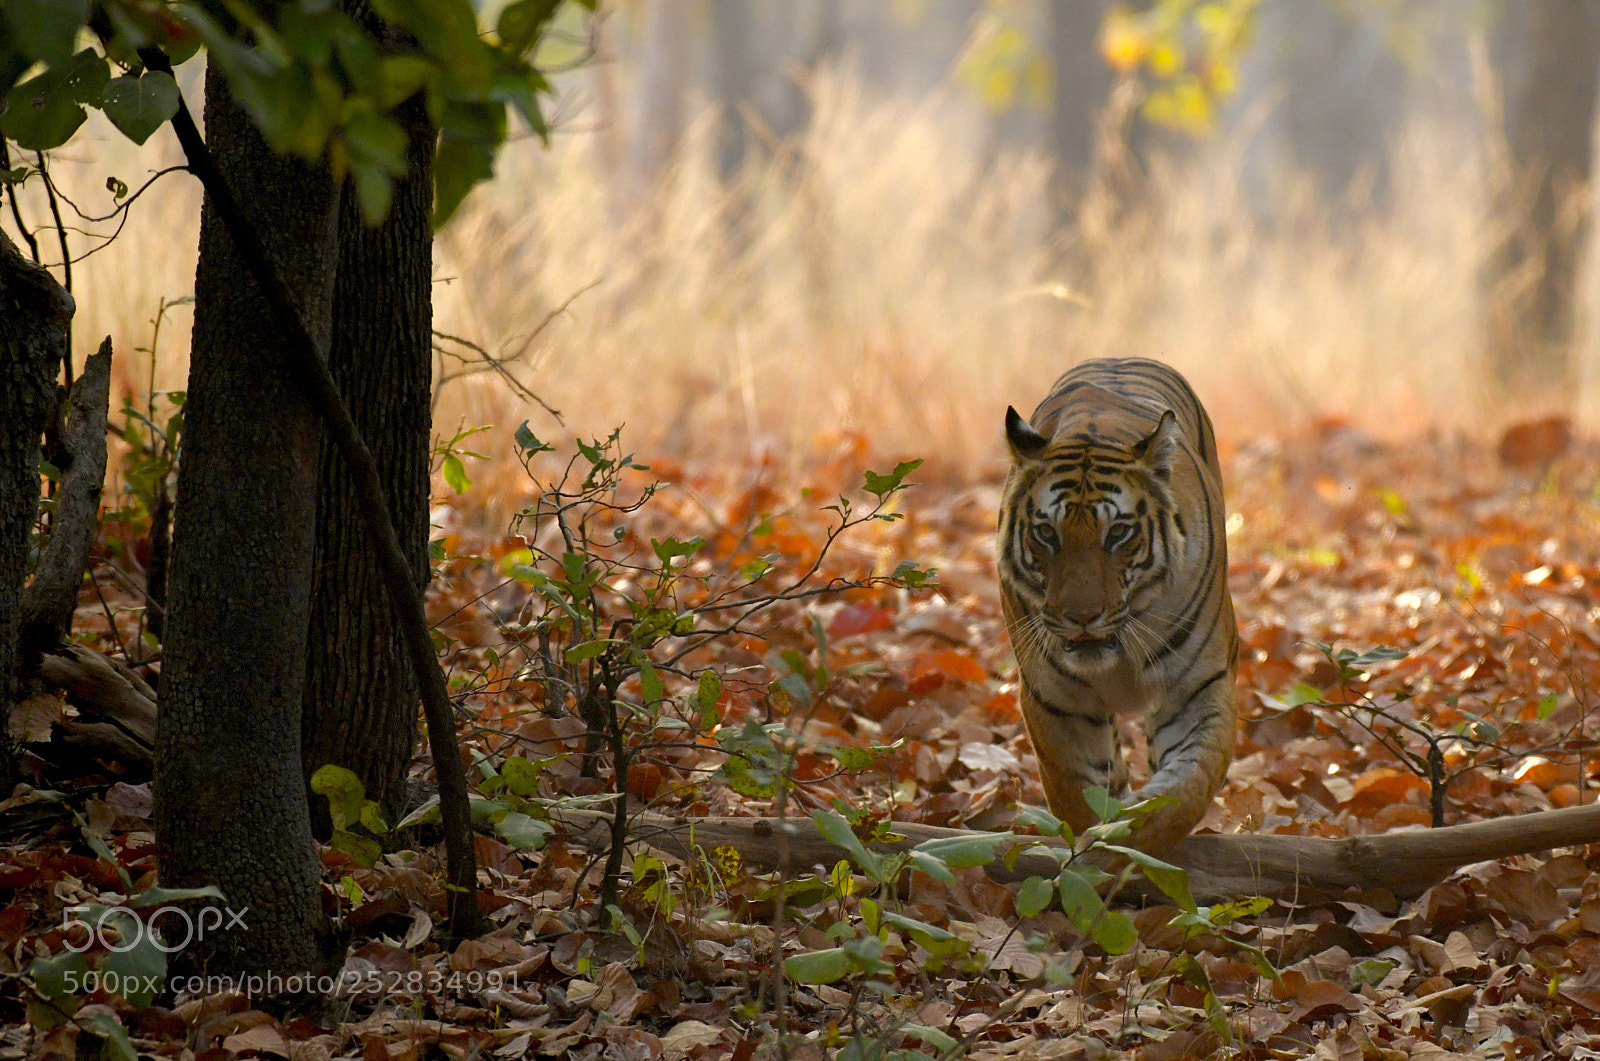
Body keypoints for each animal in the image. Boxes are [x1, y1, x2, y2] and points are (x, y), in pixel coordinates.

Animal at [998, 357, 1238, 854]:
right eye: (1046, 533)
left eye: (1119, 533)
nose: (1082, 618)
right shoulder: (1055, 700)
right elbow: (1076, 794)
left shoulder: (1199, 686)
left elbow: (1184, 791)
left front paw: (1128, 843)